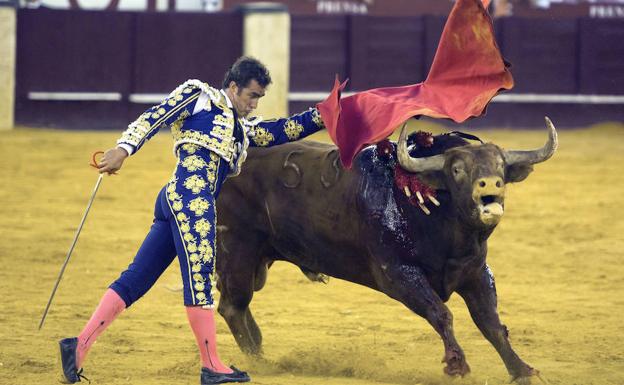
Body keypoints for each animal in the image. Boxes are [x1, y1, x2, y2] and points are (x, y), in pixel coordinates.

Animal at [212, 115, 560, 380]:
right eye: (457, 169)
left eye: (500, 167)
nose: (490, 184)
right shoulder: (397, 274)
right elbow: (441, 313)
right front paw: (457, 364)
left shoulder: (475, 273)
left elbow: (491, 322)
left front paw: (522, 370)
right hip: (238, 248)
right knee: (232, 306)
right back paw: (261, 363)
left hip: (256, 259)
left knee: (237, 304)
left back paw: (259, 352)